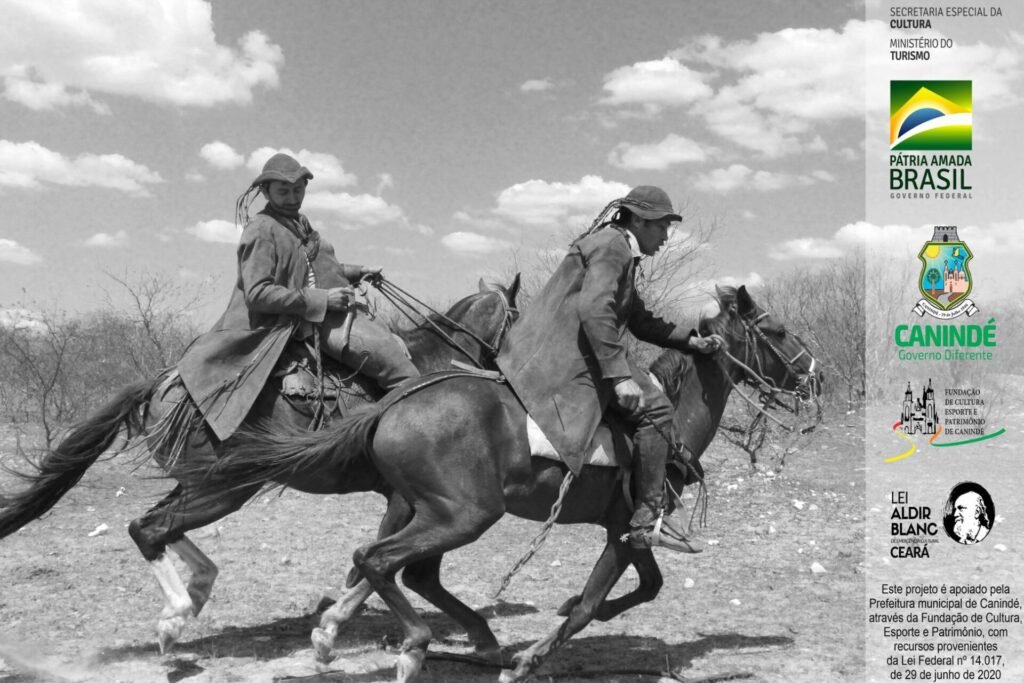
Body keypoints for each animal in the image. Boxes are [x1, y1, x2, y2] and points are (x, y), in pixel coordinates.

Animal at [0, 276, 516, 651]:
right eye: (516, 312)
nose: (508, 372)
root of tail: (163, 382)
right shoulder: (406, 500)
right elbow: (376, 564)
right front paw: (330, 629)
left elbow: (372, 565)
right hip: (222, 488)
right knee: (148, 528)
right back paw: (176, 615)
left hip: (205, 484)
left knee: (160, 526)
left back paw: (193, 594)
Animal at [190, 284, 815, 683]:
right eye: (778, 330)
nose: (817, 374)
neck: (670, 421)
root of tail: (391, 405)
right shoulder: (623, 530)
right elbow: (595, 604)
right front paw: (528, 659)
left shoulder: (627, 531)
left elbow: (645, 587)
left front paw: (564, 611)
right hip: (463, 515)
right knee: (379, 560)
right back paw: (413, 646)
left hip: (432, 511)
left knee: (397, 567)